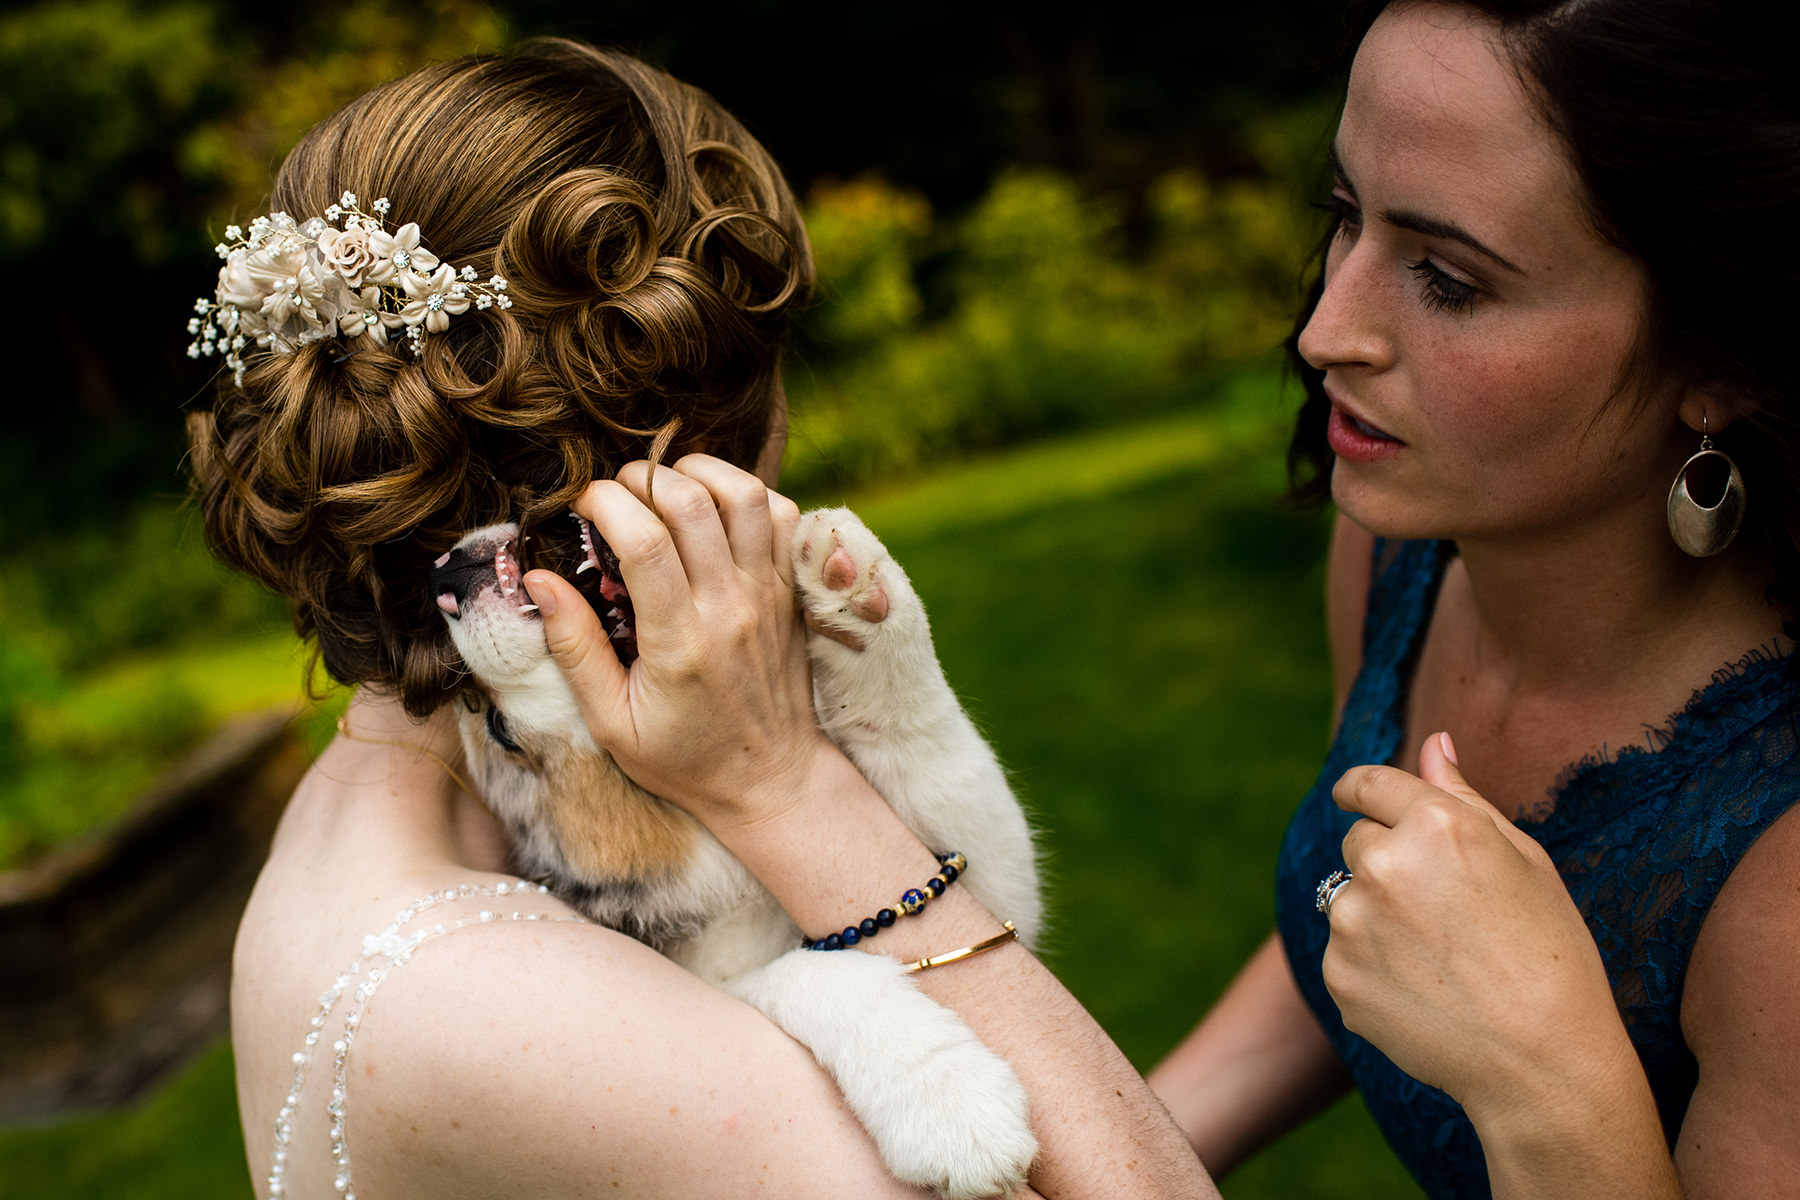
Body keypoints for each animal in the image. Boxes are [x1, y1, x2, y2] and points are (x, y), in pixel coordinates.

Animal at [432, 510, 1044, 1200]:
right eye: (496, 728)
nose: (447, 573)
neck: (727, 860)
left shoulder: (1003, 882)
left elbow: (933, 749)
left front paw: (855, 586)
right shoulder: (710, 986)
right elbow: (798, 974)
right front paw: (951, 1103)